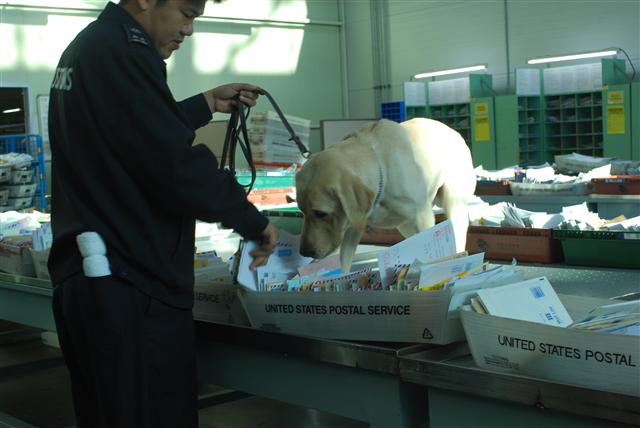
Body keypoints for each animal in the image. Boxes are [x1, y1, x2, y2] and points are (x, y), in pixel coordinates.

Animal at [296, 118, 476, 270]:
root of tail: (455, 132)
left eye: (320, 213)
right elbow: (345, 262)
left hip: (454, 207)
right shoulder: (352, 225)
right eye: (302, 211)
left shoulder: (423, 218)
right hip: (404, 225)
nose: (304, 252)